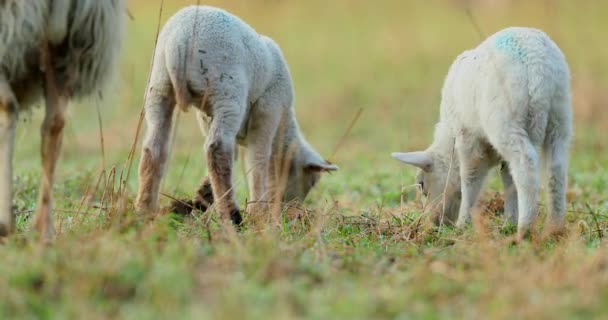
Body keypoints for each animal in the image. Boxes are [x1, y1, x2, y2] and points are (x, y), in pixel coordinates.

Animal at [134, 5, 340, 225]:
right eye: (312, 181)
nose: (290, 211)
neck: (284, 124)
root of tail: (179, 40)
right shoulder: (269, 108)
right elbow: (258, 159)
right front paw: (259, 212)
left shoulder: (207, 116)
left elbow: (233, 157)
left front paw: (202, 197)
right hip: (226, 90)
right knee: (217, 149)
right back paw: (232, 216)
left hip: (159, 87)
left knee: (154, 147)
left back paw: (144, 210)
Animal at [392, 26, 572, 239]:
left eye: (421, 185)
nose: (436, 223)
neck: (449, 136)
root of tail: (538, 64)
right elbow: (509, 180)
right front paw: (509, 220)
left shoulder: (466, 136)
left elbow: (469, 177)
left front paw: (463, 223)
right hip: (559, 116)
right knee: (555, 169)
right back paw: (554, 227)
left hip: (505, 119)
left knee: (525, 164)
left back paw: (525, 229)